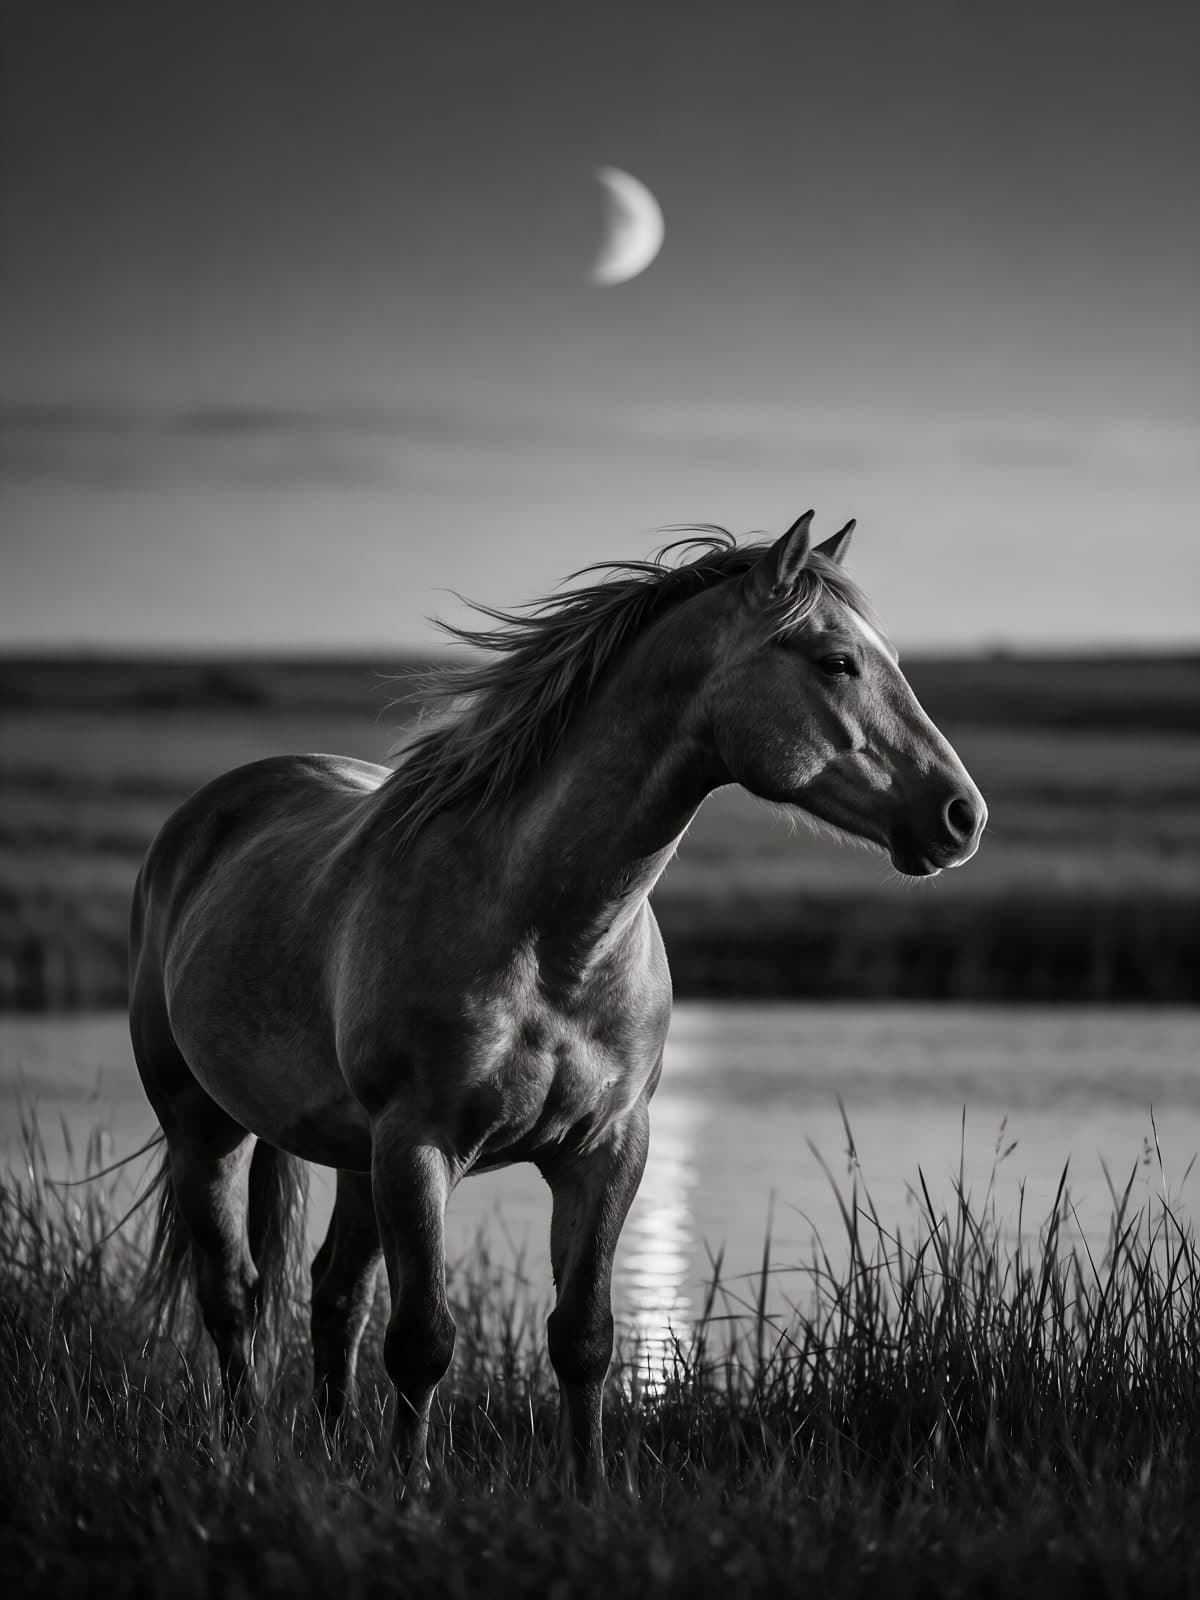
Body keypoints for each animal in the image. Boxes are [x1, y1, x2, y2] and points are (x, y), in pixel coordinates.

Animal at [131, 511, 986, 1491]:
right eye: (836, 660)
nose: (962, 816)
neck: (551, 937)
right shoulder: (418, 1144)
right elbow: (422, 1342)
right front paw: (413, 1493)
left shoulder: (606, 1150)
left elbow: (583, 1338)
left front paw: (590, 1492)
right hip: (205, 1126)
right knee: (232, 1294)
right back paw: (247, 1452)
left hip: (352, 1154)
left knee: (335, 1292)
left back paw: (336, 1453)